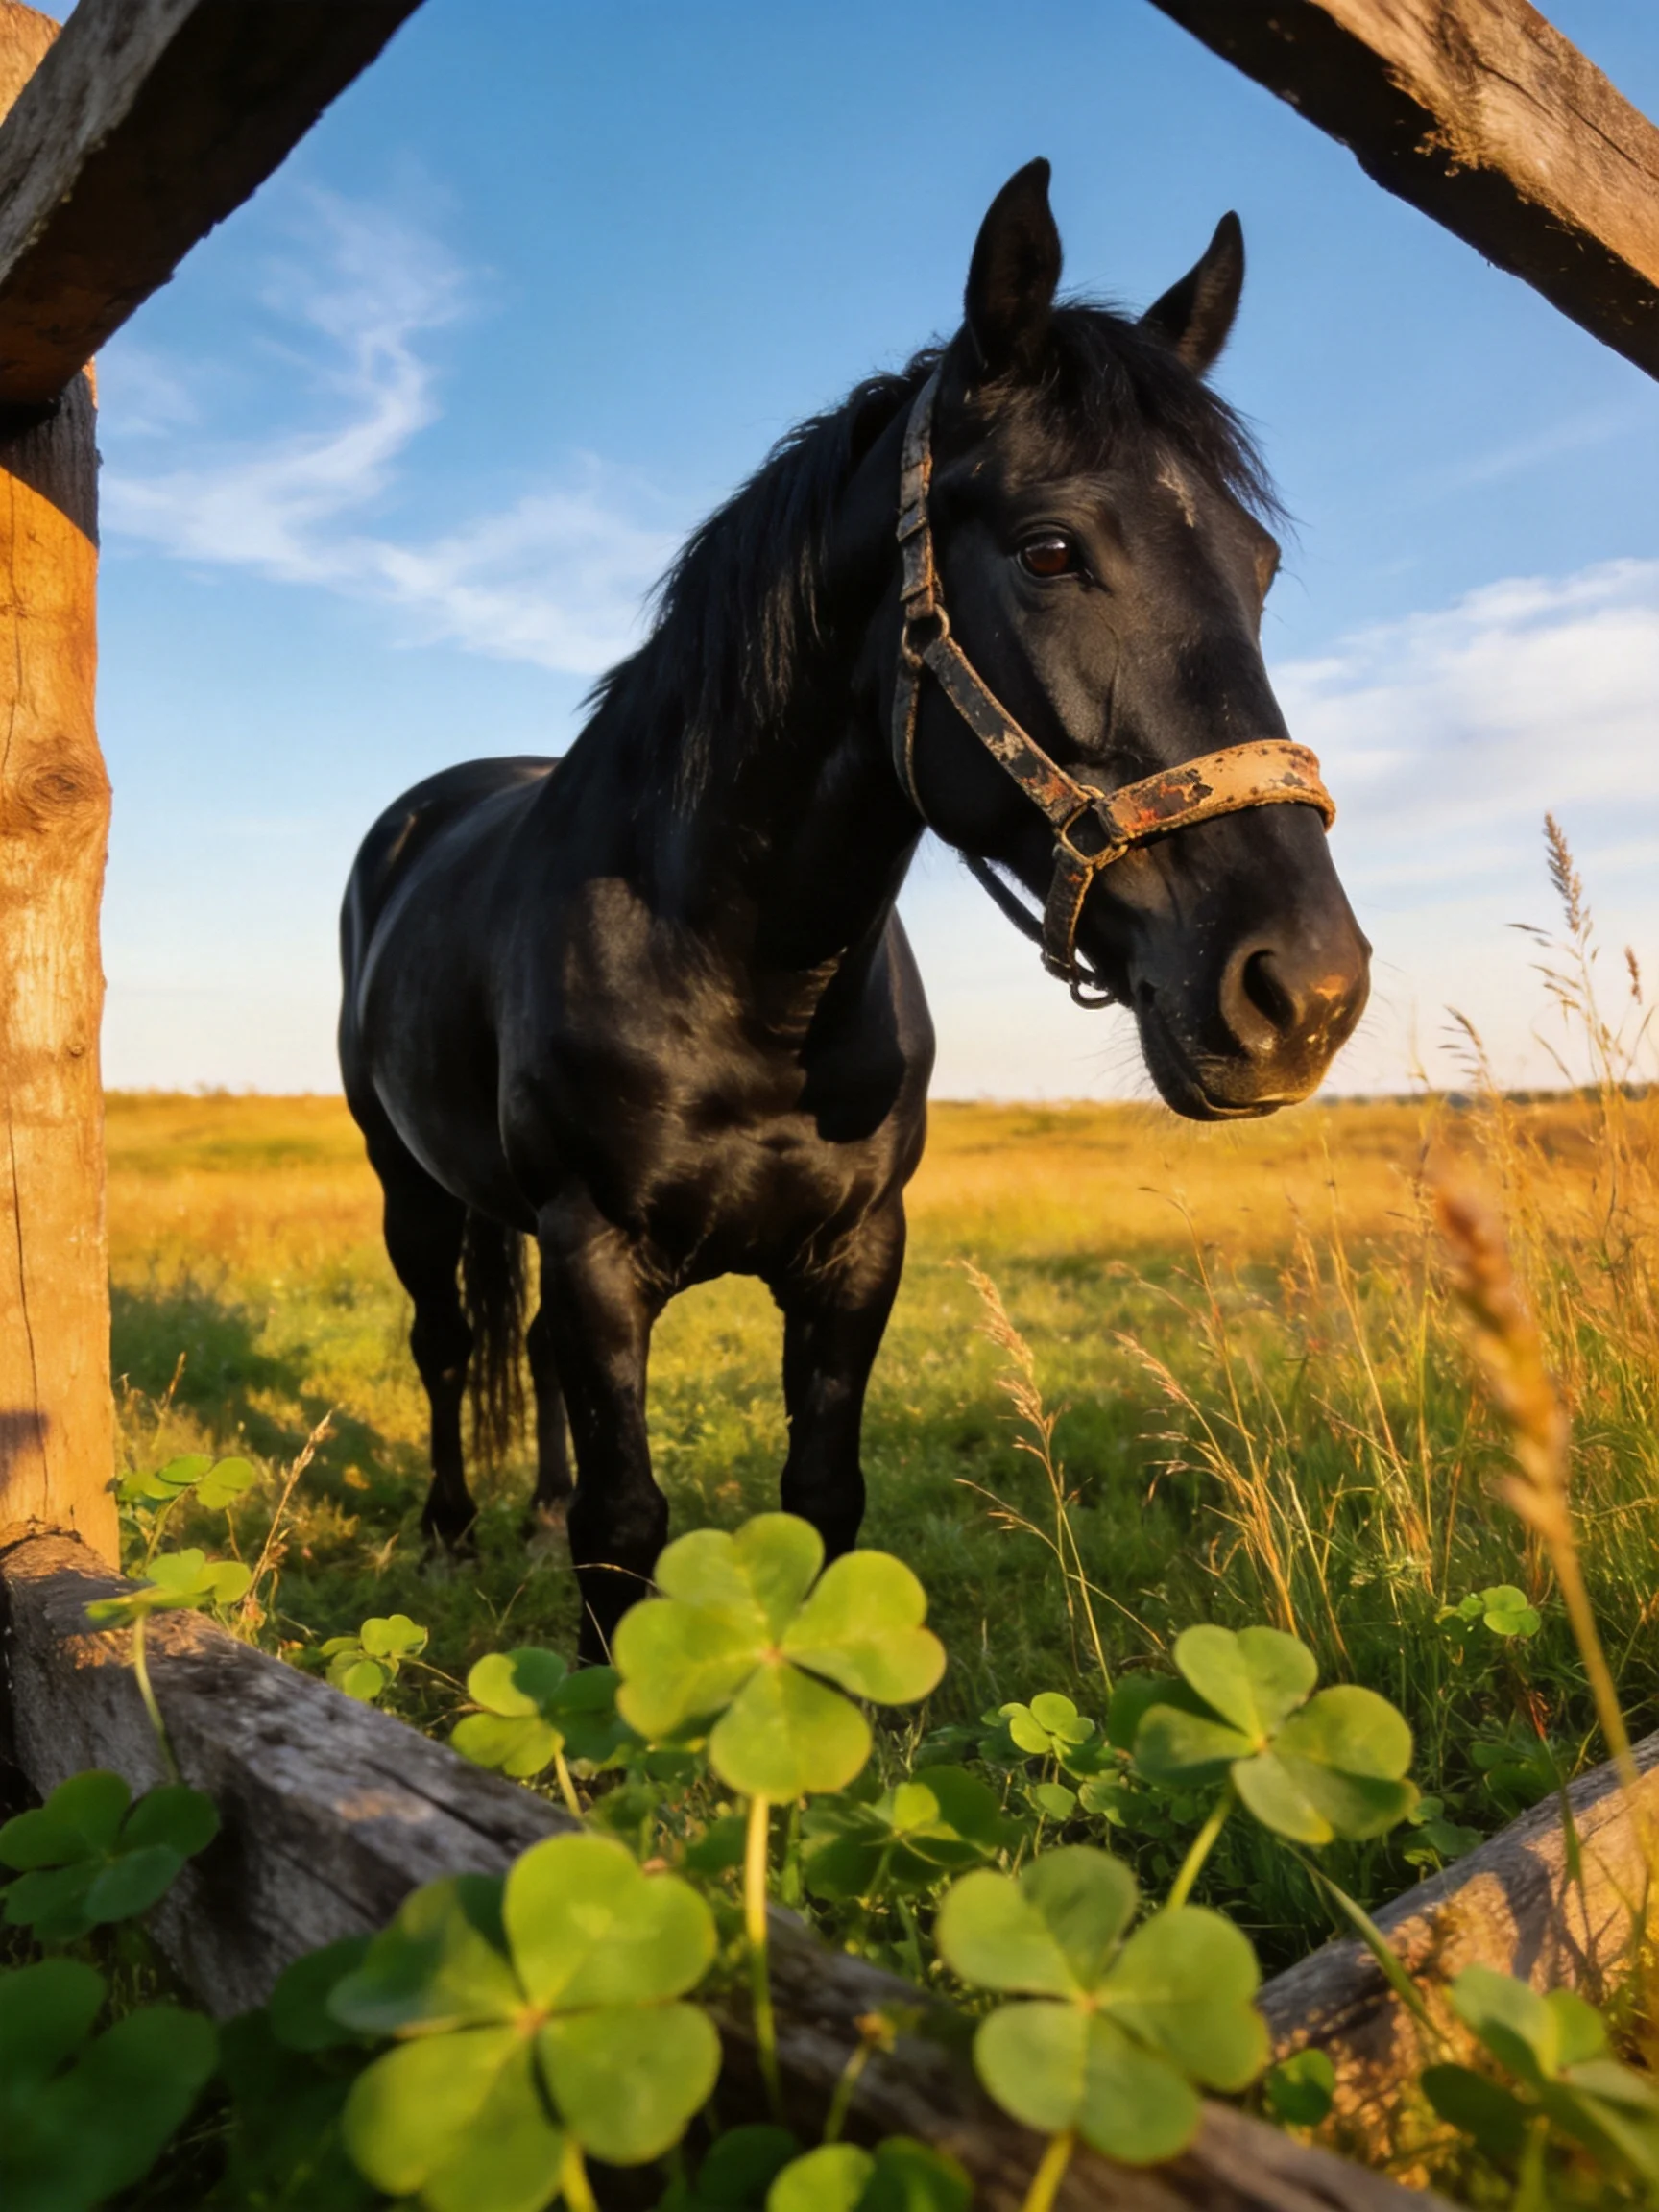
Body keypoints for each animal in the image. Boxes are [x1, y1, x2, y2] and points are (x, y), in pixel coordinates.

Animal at [339, 160, 1370, 1656]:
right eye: (1051, 551)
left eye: (1262, 568)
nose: (1307, 993)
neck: (740, 973)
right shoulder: (595, 1252)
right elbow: (626, 1528)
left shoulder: (856, 1255)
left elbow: (819, 1498)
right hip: (409, 1183)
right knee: (445, 1346)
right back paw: (451, 1535)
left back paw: (523, 1517)